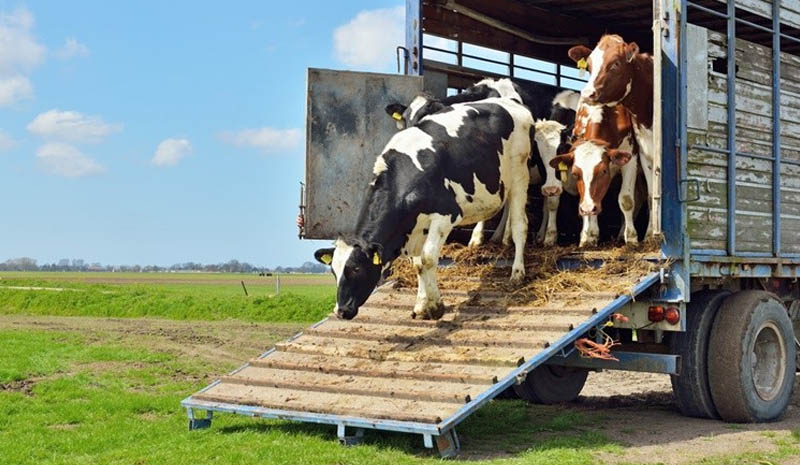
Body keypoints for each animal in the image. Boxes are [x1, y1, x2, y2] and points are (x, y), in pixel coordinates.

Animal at [316, 96, 536, 320]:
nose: (341, 311)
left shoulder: (446, 214)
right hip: (503, 183)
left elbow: (428, 258)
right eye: (334, 271)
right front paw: (423, 305)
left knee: (520, 225)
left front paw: (435, 307)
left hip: (520, 174)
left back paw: (517, 272)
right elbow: (418, 264)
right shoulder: (415, 226)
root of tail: (509, 101)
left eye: (356, 269)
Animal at [564, 33, 652, 239]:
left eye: (615, 64)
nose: (588, 93)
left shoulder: (631, 157)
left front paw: (632, 237)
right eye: (588, 66)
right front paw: (588, 235)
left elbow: (626, 199)